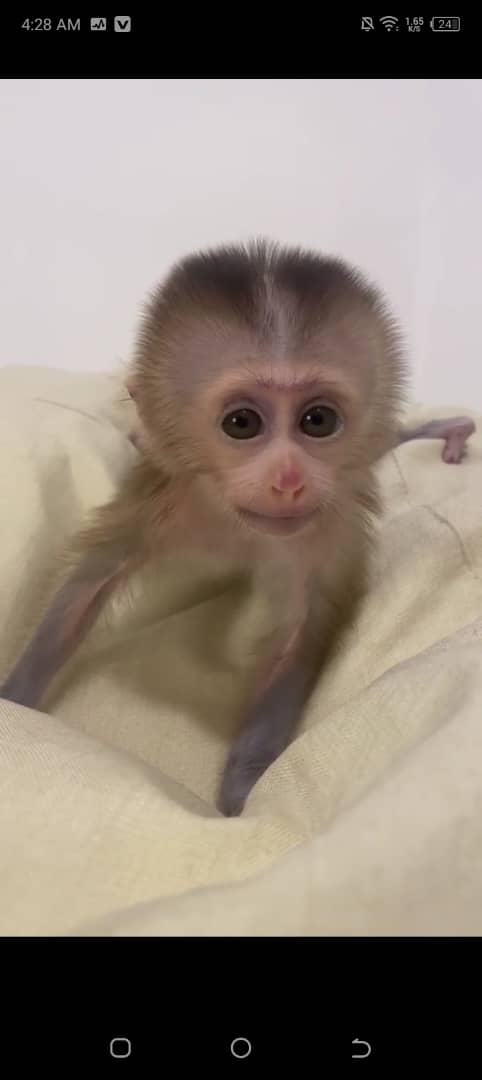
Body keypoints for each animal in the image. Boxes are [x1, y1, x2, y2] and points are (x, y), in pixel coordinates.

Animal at [0, 240, 476, 816]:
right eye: (242, 423)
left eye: (318, 420)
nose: (289, 480)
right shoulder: (168, 496)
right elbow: (89, 585)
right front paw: (16, 703)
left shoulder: (327, 522)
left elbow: (299, 634)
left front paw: (241, 795)